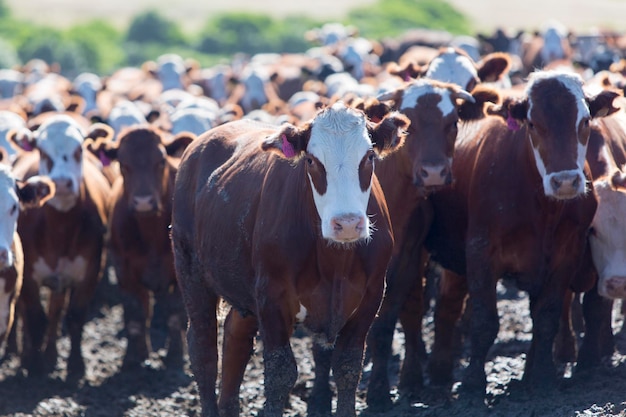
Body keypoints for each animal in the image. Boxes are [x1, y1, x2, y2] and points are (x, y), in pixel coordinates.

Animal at [9, 114, 111, 376]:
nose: (63, 183)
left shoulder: (90, 270)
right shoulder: (28, 275)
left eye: (79, 148)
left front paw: (75, 366)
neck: (60, 229)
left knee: (56, 310)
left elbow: (75, 316)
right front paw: (34, 365)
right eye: (42, 150)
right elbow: (35, 318)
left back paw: (51, 354)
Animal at [90, 125, 193, 368]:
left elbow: (176, 313)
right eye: (122, 163)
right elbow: (135, 313)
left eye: (161, 161)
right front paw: (133, 358)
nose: (143, 202)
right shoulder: (124, 271)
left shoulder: (178, 272)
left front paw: (175, 356)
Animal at [169, 101, 410, 416]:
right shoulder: (271, 295)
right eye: (311, 160)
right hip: (190, 269)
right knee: (203, 349)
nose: (346, 223)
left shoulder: (371, 295)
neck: (334, 262)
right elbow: (280, 374)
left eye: (369, 156)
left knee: (235, 341)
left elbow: (348, 368)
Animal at [422, 71, 616, 396]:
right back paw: (435, 374)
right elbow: (484, 320)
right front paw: (473, 384)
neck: (541, 207)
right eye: (533, 123)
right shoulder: (480, 249)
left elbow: (547, 315)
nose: (566, 181)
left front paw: (543, 378)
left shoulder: (567, 252)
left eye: (585, 120)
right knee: (447, 306)